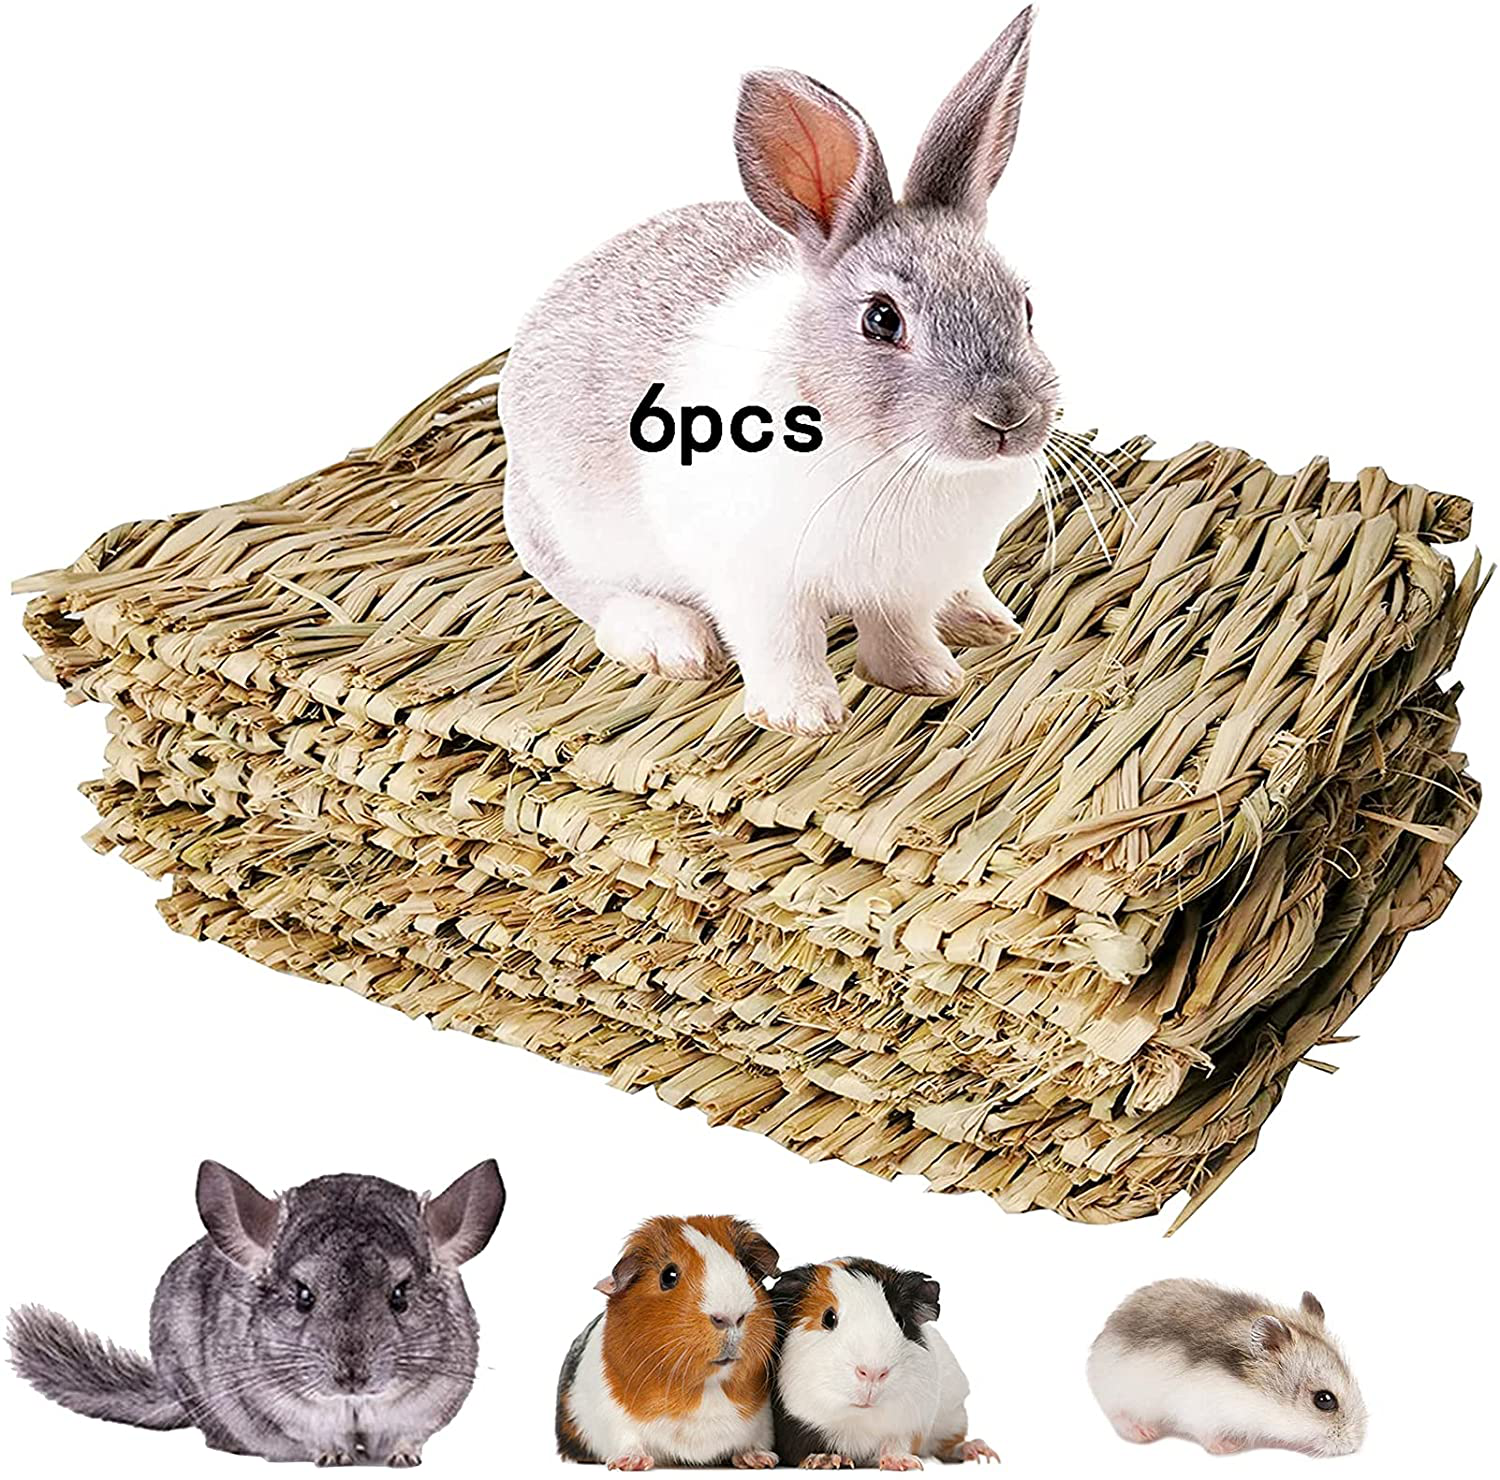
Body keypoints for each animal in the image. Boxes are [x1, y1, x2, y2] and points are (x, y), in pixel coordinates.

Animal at [8, 1158, 505, 1466]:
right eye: (303, 1296)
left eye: (400, 1295)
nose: (352, 1377)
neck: (353, 1406)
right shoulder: (277, 1408)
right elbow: (315, 1437)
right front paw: (334, 1457)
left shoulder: (429, 1407)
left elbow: (409, 1436)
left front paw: (403, 1459)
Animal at [500, 8, 1057, 737]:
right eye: (882, 319)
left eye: (1026, 306)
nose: (1007, 417)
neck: (899, 463)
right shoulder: (758, 583)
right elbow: (782, 645)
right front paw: (805, 717)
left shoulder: (905, 585)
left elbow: (900, 632)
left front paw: (929, 678)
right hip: (569, 531)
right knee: (590, 593)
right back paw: (670, 643)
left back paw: (983, 618)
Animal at [556, 1215, 781, 1470]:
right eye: (668, 1276)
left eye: (747, 1267)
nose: (731, 1317)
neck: (706, 1388)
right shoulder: (611, 1416)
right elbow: (627, 1439)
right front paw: (631, 1463)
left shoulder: (763, 1421)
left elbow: (755, 1441)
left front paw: (761, 1460)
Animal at [769, 1259, 998, 1470]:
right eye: (828, 1318)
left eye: (900, 1319)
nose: (873, 1372)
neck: (857, 1422)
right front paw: (825, 1460)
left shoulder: (910, 1424)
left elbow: (896, 1443)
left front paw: (903, 1463)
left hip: (953, 1415)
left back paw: (981, 1452)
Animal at [1086, 1279, 1368, 1457]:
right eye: (1324, 1400)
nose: (1354, 1446)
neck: (1251, 1392)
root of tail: (1105, 1332)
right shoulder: (1199, 1412)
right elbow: (1207, 1434)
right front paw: (1230, 1447)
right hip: (1118, 1394)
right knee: (1118, 1416)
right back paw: (1143, 1432)